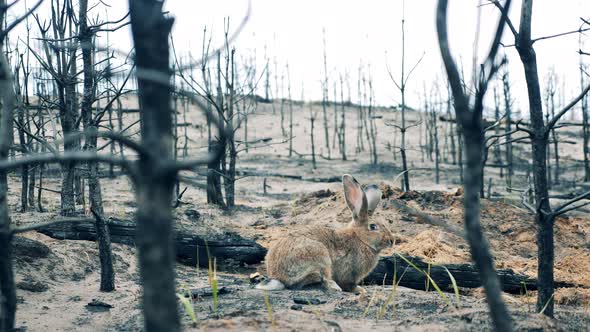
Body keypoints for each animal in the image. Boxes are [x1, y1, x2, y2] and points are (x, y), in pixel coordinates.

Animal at [256, 175, 396, 292]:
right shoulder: (349, 272)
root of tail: (278, 277)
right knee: (319, 279)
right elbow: (348, 284)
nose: (392, 240)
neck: (360, 238)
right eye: (373, 226)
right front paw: (359, 290)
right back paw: (334, 286)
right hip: (320, 257)